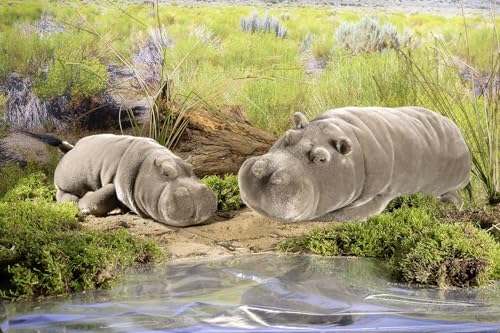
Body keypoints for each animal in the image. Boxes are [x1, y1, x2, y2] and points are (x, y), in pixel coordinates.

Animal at [28, 132, 217, 226]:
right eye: (165, 172)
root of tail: (71, 149)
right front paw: (85, 207)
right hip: (64, 184)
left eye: (192, 168)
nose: (199, 193)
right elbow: (103, 195)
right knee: (64, 195)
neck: (148, 162)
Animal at [240, 106, 470, 222]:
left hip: (451, 185)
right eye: (287, 136)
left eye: (321, 158)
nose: (267, 173)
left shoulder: (380, 192)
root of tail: (458, 130)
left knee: (454, 196)